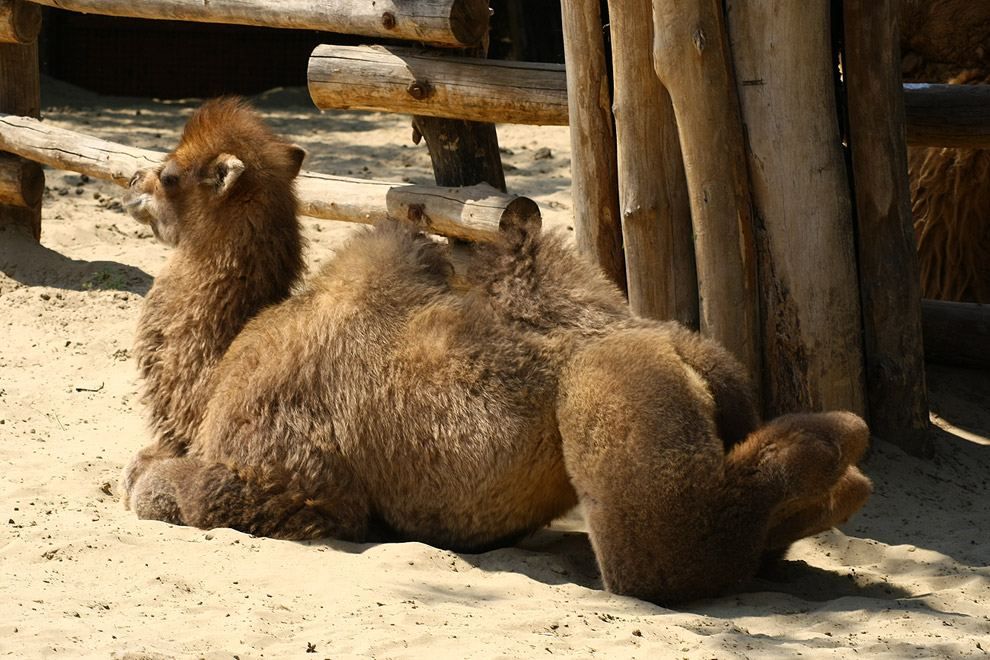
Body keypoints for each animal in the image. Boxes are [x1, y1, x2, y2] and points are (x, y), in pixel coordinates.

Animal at [118, 98, 876, 604]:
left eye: (172, 174)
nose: (133, 188)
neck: (219, 366)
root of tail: (676, 347)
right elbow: (141, 467)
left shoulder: (289, 480)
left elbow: (153, 488)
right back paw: (839, 467)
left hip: (610, 390)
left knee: (666, 564)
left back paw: (833, 456)